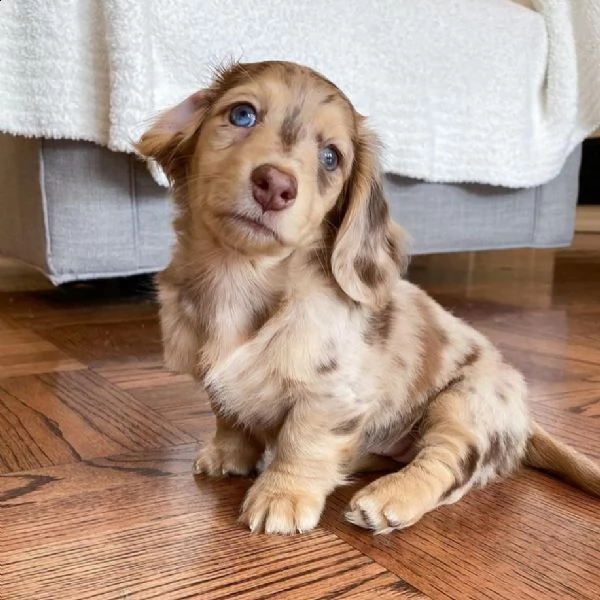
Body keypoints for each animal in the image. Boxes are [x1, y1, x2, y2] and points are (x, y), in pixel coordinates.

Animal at [137, 58, 600, 532]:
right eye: (242, 114)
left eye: (330, 157)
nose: (276, 185)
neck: (241, 278)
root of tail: (526, 420)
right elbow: (228, 415)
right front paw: (227, 455)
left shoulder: (331, 394)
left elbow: (303, 441)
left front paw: (283, 495)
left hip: (465, 402)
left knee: (447, 464)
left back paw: (392, 496)